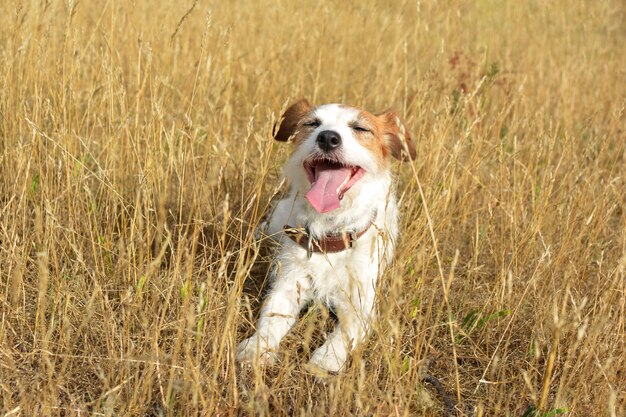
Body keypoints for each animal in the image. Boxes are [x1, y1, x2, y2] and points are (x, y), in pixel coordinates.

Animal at [236, 100, 412, 370]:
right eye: (312, 123)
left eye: (360, 128)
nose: (328, 138)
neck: (331, 234)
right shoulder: (289, 285)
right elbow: (272, 317)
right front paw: (257, 347)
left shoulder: (361, 301)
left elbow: (346, 332)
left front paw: (327, 358)